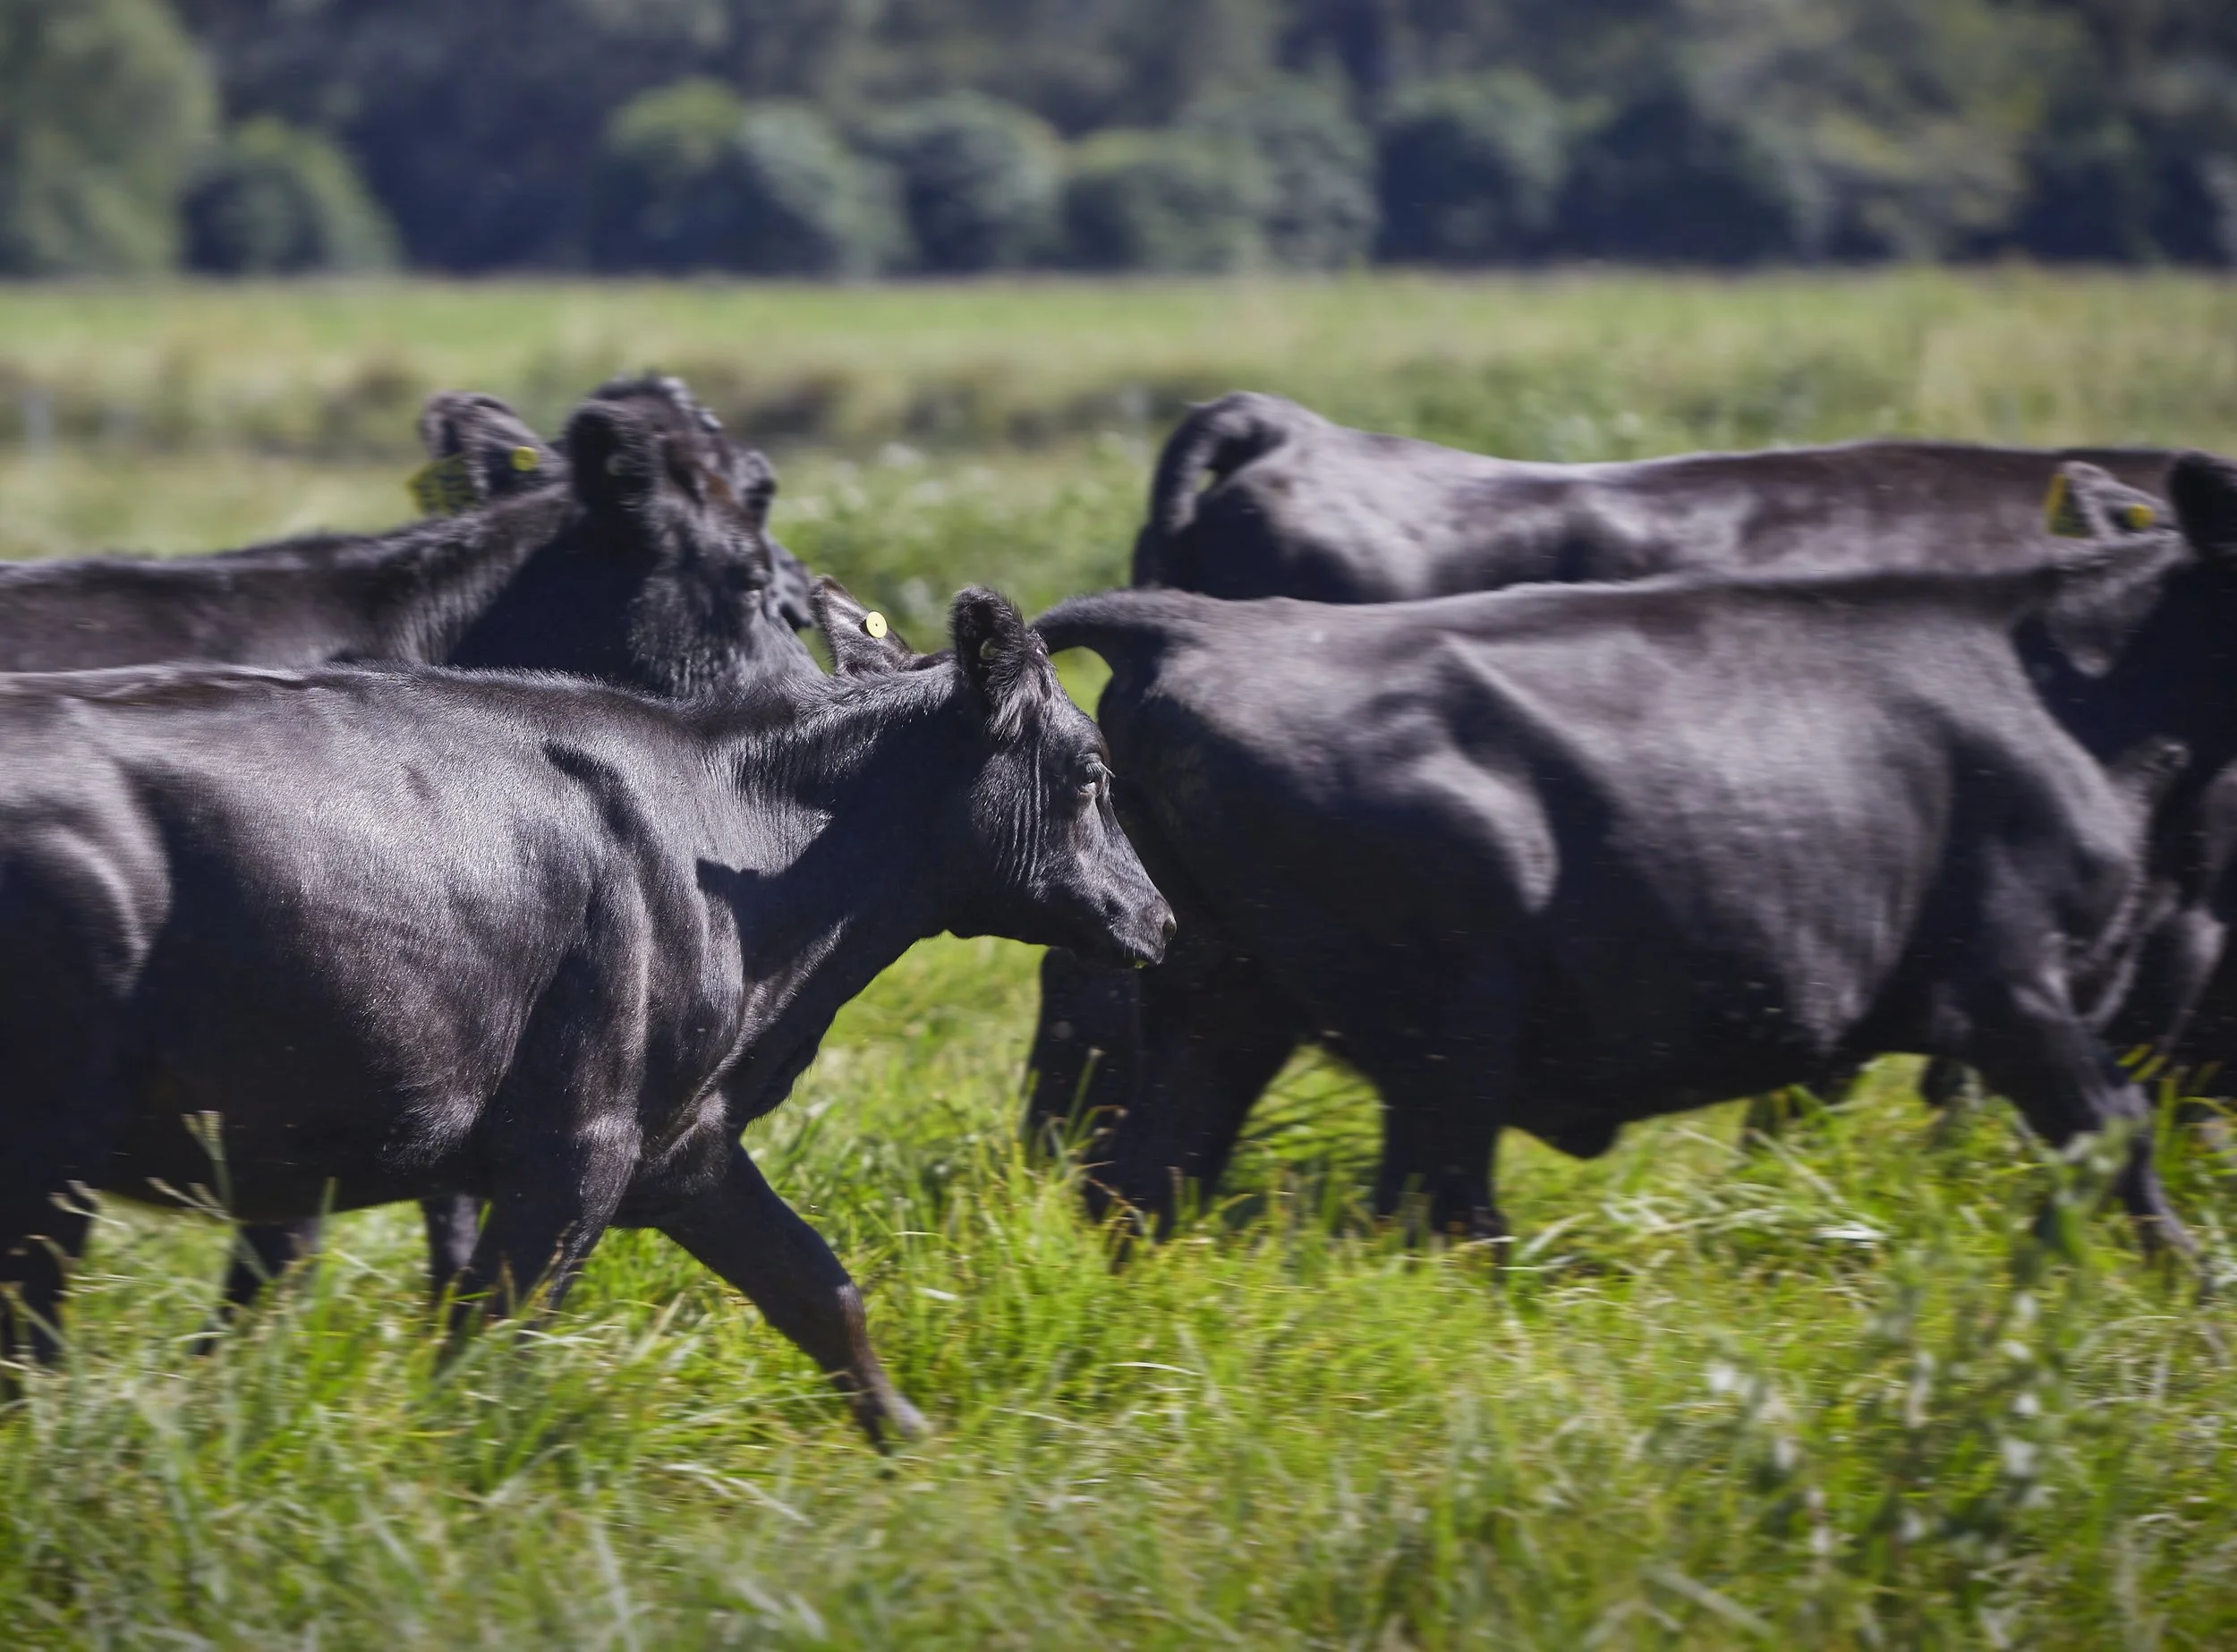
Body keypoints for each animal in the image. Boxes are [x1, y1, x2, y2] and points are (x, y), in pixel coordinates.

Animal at [0, 579, 1171, 1442]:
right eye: (1093, 772)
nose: (1157, 917)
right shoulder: (574, 1148)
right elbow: (482, 1354)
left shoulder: (680, 1144)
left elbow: (819, 1290)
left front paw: (913, 1445)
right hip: (49, 1157)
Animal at [1024, 455, 2237, 1256]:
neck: (2070, 684)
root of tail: (1191, 624)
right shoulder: (2008, 984)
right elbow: (2114, 1134)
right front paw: (2175, 1281)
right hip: (1445, 1028)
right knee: (1438, 1207)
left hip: (1226, 1004)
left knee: (1147, 1180)